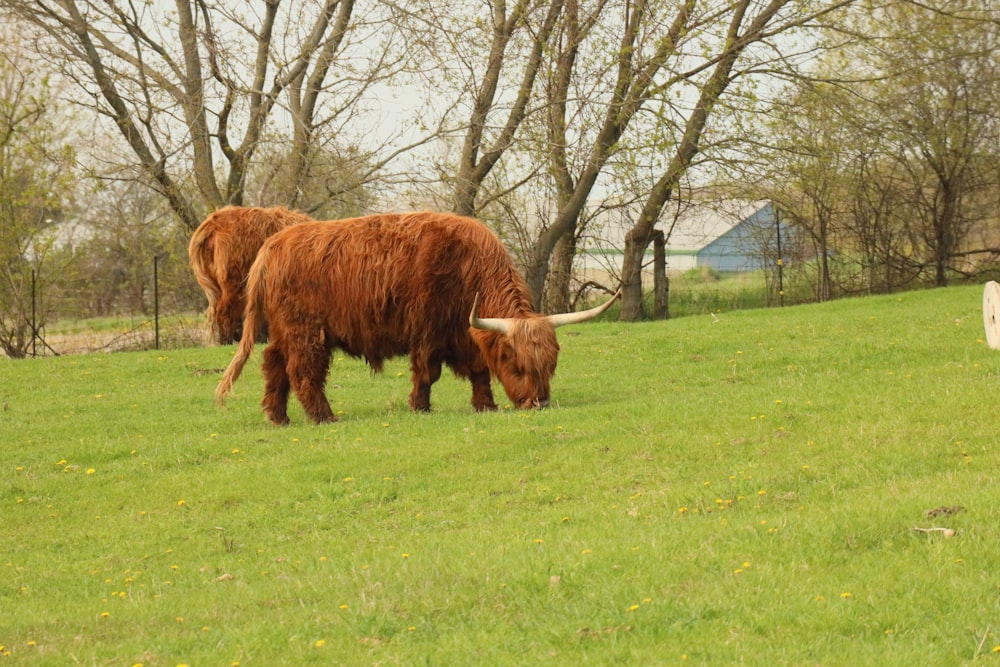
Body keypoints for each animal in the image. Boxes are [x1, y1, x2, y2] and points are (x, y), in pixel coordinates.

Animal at [216, 211, 620, 426]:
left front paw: (485, 405)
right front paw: (420, 407)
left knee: (274, 364)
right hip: (307, 332)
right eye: (517, 364)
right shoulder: (427, 329)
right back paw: (324, 417)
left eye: (550, 364)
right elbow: (427, 373)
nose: (538, 403)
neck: (467, 266)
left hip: (285, 331)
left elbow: (479, 372)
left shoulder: (464, 333)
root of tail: (273, 244)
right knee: (303, 372)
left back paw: (277, 416)